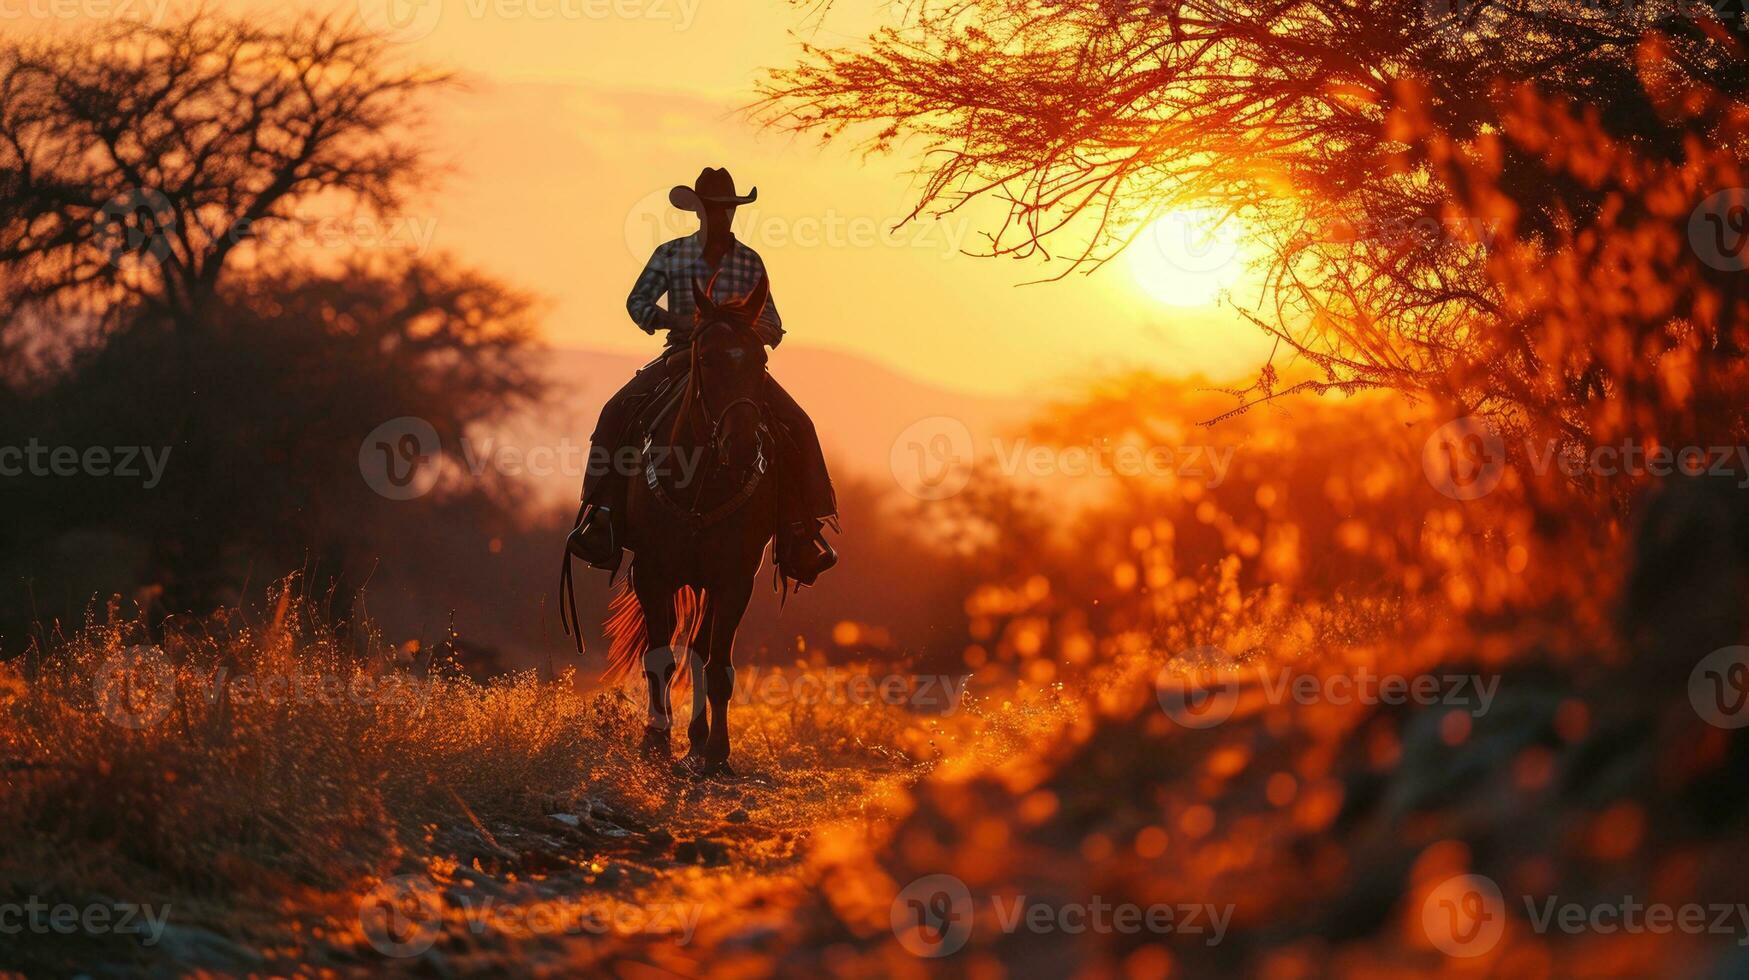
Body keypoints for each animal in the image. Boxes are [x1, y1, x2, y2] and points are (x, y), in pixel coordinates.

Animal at [563, 278, 776, 780]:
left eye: (760, 361)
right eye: (707, 359)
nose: (742, 446)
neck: (701, 482)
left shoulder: (734, 581)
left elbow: (717, 667)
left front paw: (716, 752)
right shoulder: (652, 572)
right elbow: (659, 657)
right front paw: (655, 741)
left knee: (699, 654)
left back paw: (697, 743)